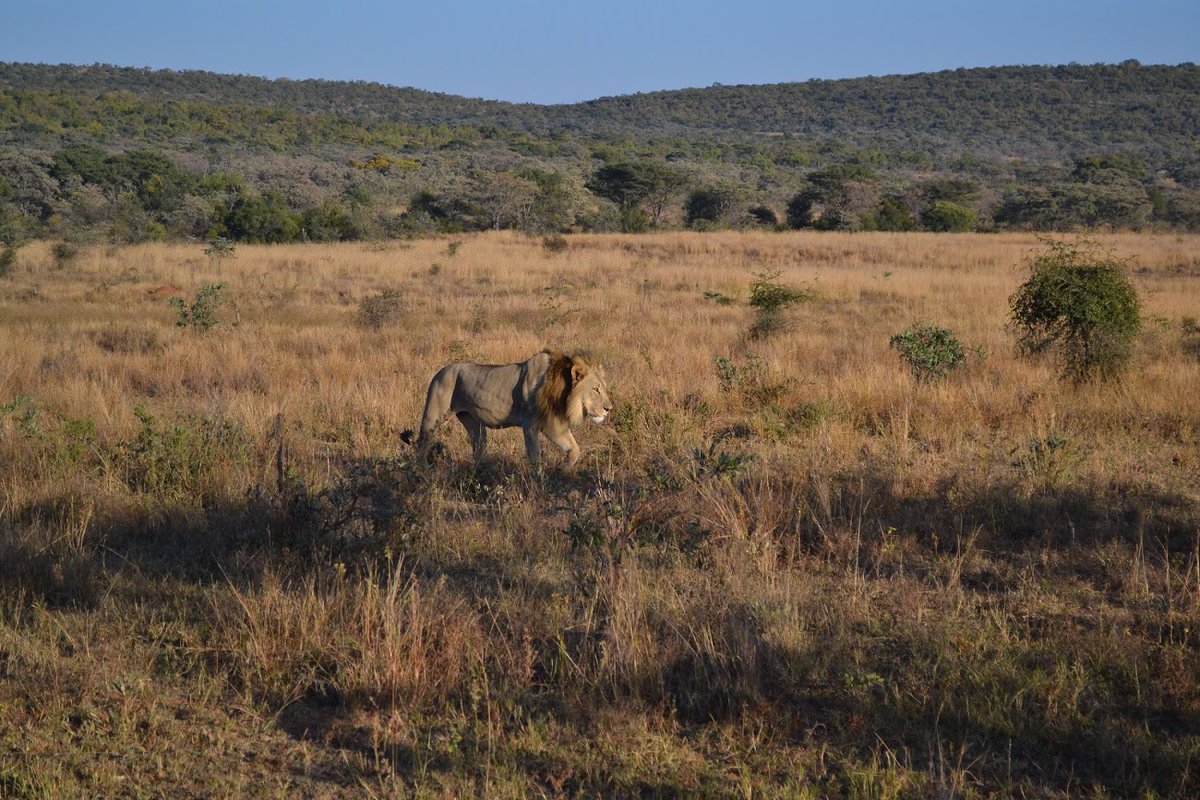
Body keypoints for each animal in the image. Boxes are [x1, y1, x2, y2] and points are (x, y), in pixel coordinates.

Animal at [413, 349, 612, 469]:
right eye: (596, 389)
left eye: (603, 388)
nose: (609, 408)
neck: (561, 393)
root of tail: (441, 370)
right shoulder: (530, 426)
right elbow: (535, 456)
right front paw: (538, 479)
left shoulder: (553, 425)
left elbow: (575, 449)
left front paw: (562, 468)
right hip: (433, 414)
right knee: (422, 443)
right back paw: (421, 470)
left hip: (473, 422)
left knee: (478, 447)